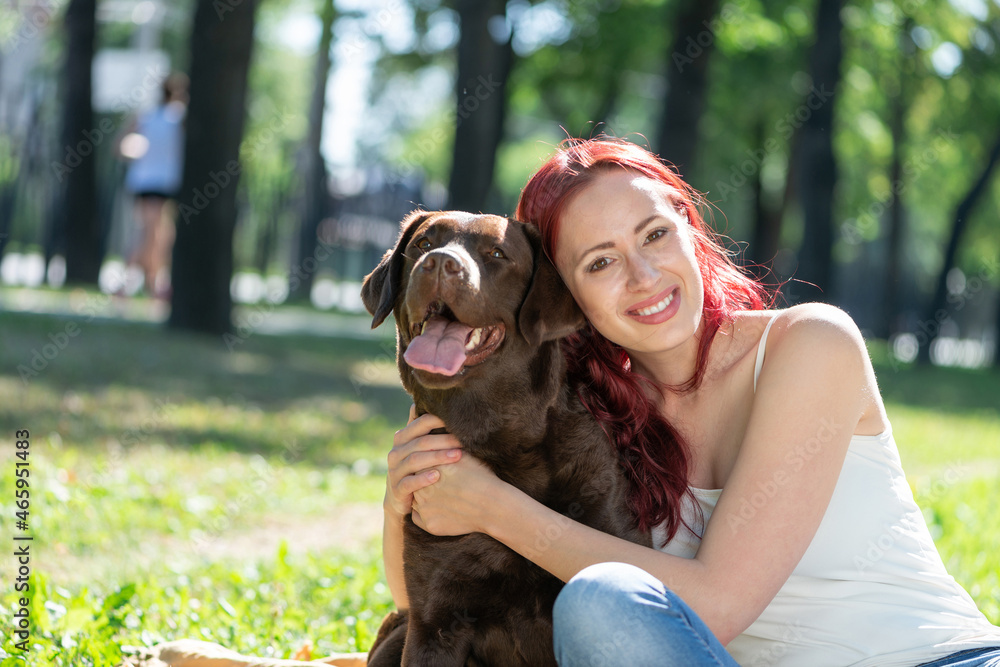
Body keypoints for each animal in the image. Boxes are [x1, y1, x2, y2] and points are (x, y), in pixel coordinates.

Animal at [360, 211, 648, 664]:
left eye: (496, 254)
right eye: (424, 244)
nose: (438, 263)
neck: (501, 442)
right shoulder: (433, 623)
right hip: (400, 629)